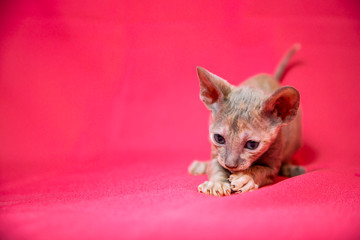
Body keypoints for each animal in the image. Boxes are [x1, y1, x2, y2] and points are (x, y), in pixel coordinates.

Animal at [190, 44, 306, 196]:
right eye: (219, 138)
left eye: (252, 144)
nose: (230, 165)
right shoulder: (216, 156)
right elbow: (215, 166)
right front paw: (217, 182)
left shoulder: (272, 165)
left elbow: (261, 170)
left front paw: (246, 177)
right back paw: (200, 166)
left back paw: (291, 169)